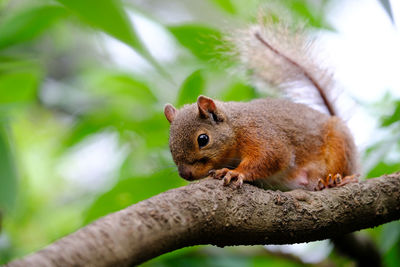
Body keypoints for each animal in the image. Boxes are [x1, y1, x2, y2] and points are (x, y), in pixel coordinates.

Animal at [162, 16, 360, 191]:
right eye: (170, 144)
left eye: (203, 139)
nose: (185, 174)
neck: (235, 125)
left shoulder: (257, 131)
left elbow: (273, 154)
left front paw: (235, 172)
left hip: (340, 145)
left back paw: (336, 180)